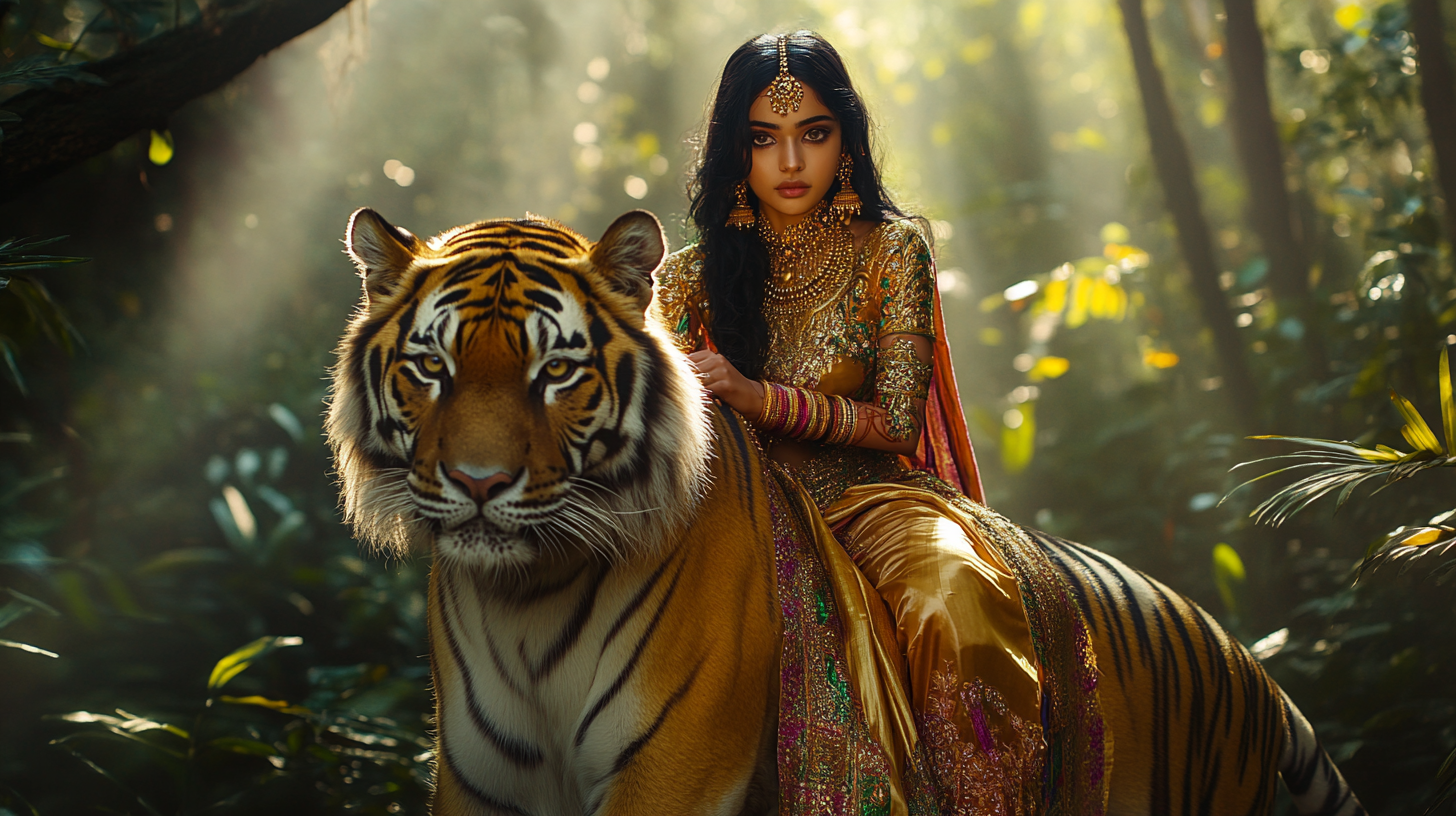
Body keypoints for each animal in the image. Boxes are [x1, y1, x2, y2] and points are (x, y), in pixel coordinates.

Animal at [327, 205, 1362, 816]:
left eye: (557, 372)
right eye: (431, 367)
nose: (479, 483)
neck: (527, 598)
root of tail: (1246, 659)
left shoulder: (670, 768)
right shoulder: (481, 784)